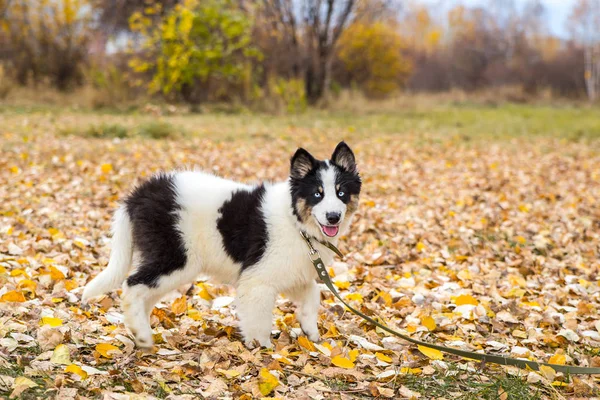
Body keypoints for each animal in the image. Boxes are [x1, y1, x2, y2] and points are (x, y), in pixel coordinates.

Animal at [81, 142, 360, 348]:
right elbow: (259, 318)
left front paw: (309, 329)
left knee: (143, 293)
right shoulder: (258, 278)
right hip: (176, 257)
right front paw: (262, 349)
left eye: (341, 193)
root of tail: (138, 196)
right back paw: (141, 334)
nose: (333, 217)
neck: (296, 222)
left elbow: (313, 293)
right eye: (317, 194)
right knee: (133, 285)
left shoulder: (291, 271)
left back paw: (139, 329)